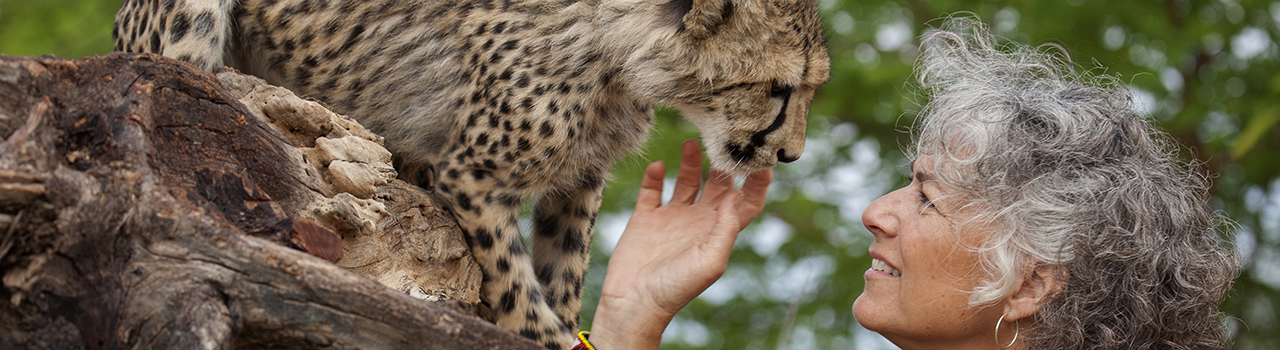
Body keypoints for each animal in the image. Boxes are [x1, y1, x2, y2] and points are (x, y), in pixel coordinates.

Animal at [112, 1, 829, 346]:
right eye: (780, 89)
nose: (791, 155)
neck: (625, 55)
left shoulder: (578, 184)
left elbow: (561, 279)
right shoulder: (473, 175)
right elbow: (520, 294)